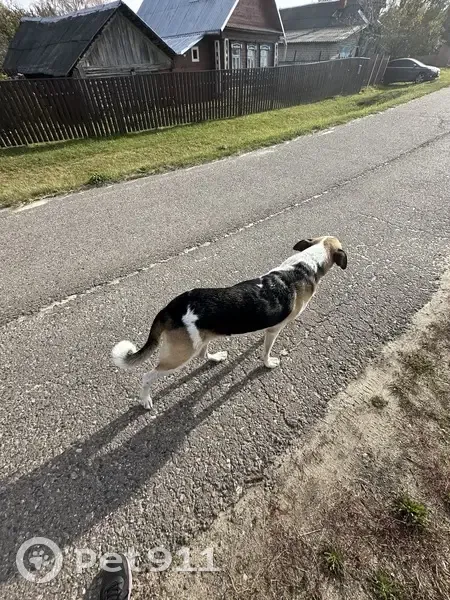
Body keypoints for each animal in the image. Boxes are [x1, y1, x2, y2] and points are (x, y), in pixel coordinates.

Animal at [112, 236, 347, 409]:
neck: (304, 266)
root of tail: (170, 308)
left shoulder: (271, 328)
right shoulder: (275, 330)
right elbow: (266, 352)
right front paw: (268, 363)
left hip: (201, 339)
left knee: (203, 354)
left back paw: (215, 358)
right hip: (179, 356)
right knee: (147, 376)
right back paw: (145, 400)